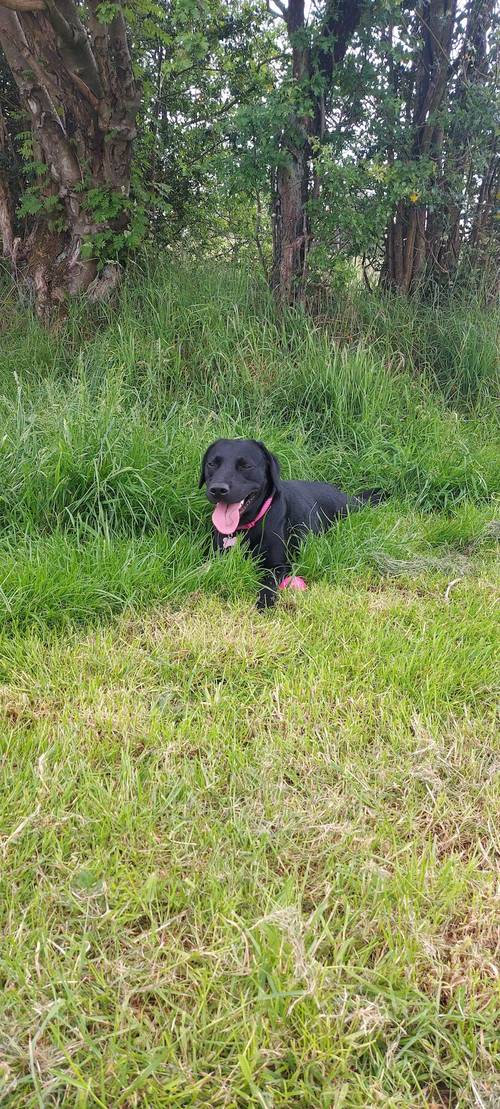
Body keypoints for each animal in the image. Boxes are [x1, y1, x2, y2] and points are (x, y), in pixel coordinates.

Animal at [199, 436, 383, 612]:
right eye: (212, 464)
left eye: (245, 466)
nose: (218, 489)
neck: (246, 526)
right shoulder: (215, 556)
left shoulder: (277, 566)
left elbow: (268, 586)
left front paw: (264, 604)